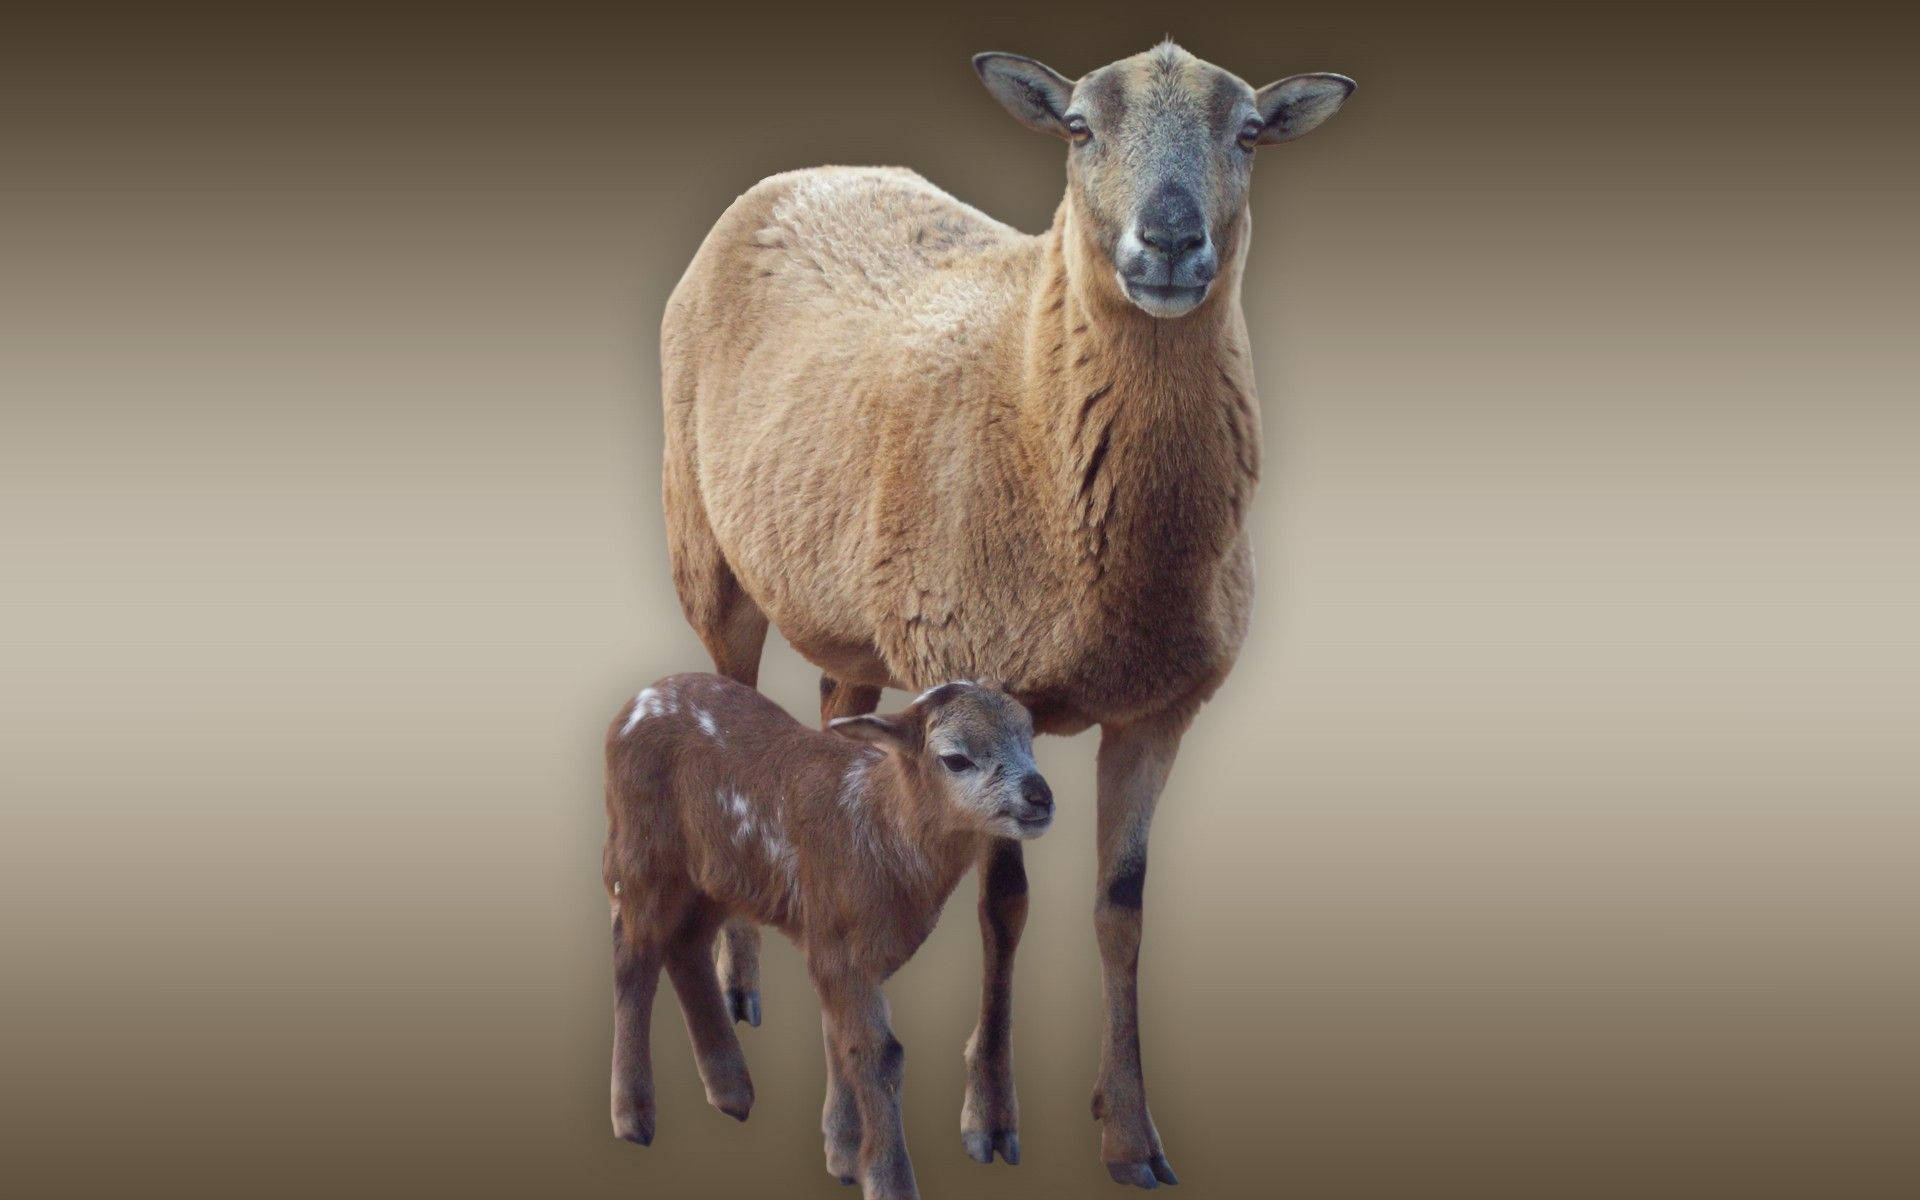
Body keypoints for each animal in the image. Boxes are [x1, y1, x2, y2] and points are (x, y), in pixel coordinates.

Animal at [603, 673, 1054, 1200]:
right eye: (956, 758)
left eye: (1029, 737)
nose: (1040, 796)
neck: (884, 826)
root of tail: (639, 699)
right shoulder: (838, 944)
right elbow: (879, 1055)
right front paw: (887, 1179)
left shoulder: (841, 946)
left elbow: (842, 1039)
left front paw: (843, 1155)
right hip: (644, 848)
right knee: (632, 955)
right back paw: (634, 1117)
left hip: (714, 872)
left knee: (685, 945)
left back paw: (732, 1092)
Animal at [657, 40, 1354, 1187]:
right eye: (1077, 126)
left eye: (1249, 132)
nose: (1170, 240)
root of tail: (807, 169)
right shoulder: (983, 667)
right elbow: (1004, 906)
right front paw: (989, 1117)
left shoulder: (1160, 711)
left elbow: (1122, 909)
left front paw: (1131, 1135)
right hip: (706, 551)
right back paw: (744, 981)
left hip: (851, 613)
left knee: (832, 714)